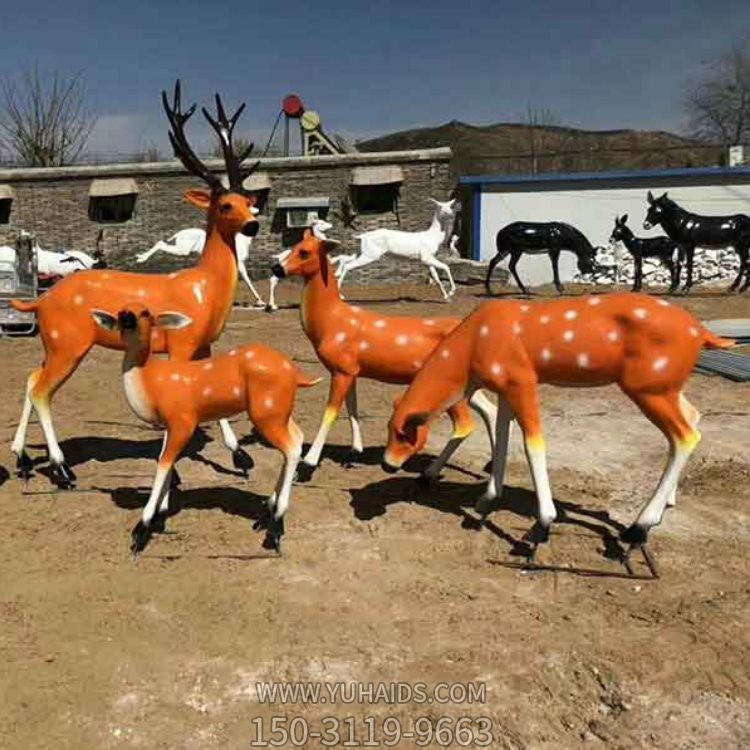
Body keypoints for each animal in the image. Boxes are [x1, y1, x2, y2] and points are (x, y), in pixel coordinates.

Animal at [7, 82, 262, 490]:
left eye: (246, 201)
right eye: (225, 205)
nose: (253, 225)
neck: (204, 288)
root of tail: (39, 303)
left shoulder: (204, 344)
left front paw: (241, 457)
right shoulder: (180, 343)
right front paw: (175, 472)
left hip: (53, 343)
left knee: (31, 379)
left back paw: (24, 459)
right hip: (68, 343)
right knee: (42, 390)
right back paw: (62, 470)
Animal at [92, 302, 318, 556]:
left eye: (145, 313)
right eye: (121, 312)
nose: (127, 318)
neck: (152, 380)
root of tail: (295, 373)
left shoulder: (183, 421)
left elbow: (164, 463)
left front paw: (142, 530)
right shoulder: (170, 424)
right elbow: (165, 460)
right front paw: (161, 517)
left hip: (266, 412)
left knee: (291, 449)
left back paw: (275, 529)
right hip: (279, 412)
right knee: (298, 438)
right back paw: (265, 514)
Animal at [272, 229, 500, 484]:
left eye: (304, 252)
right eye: (293, 247)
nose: (276, 268)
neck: (332, 321)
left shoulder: (342, 369)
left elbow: (330, 413)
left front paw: (308, 465)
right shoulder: (352, 370)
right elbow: (353, 409)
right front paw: (354, 452)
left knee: (465, 424)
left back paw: (429, 474)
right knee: (490, 411)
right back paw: (489, 467)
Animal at [382, 294, 736, 576]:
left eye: (404, 434)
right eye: (389, 429)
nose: (387, 464)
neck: (471, 347)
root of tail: (702, 333)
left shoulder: (522, 380)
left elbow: (533, 443)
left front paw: (541, 526)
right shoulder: (505, 387)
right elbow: (503, 435)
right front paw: (486, 503)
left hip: (648, 387)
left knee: (685, 436)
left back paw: (639, 529)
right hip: (666, 387)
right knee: (693, 417)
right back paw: (665, 507)